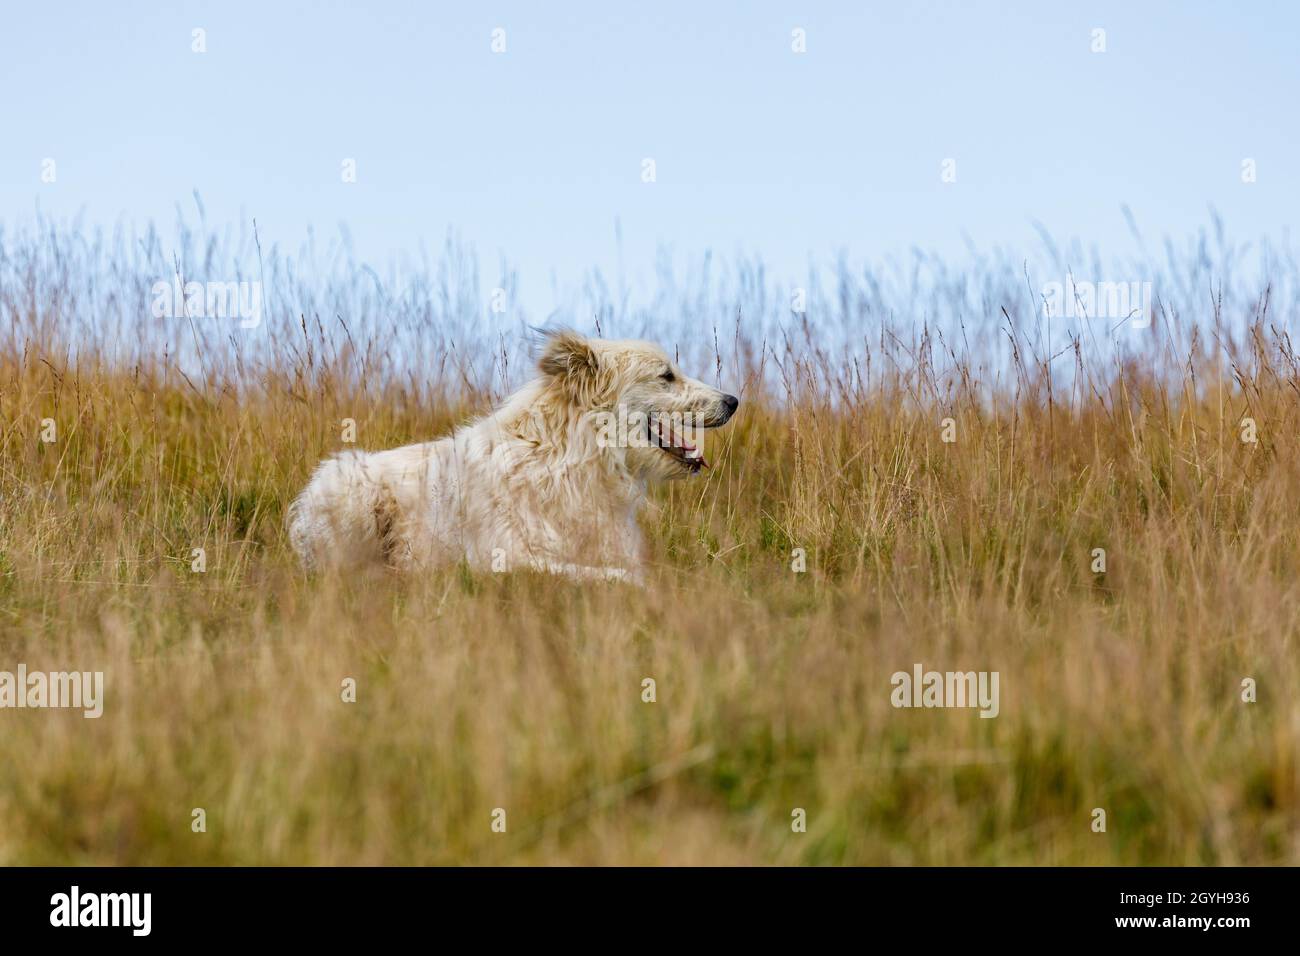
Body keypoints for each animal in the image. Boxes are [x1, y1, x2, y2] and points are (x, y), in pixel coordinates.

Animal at [288, 329, 738, 582]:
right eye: (666, 376)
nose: (733, 401)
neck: (575, 462)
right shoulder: (509, 555)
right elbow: (613, 576)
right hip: (350, 491)